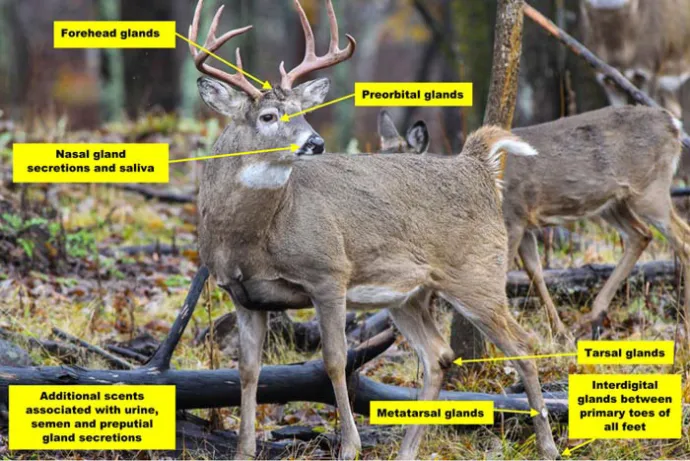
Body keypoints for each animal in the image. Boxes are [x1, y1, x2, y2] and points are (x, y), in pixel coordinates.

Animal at [187, 0, 559, 459]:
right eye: (269, 115)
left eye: (305, 112)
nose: (315, 142)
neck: (254, 238)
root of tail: (477, 166)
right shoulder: (243, 296)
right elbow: (248, 370)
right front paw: (243, 449)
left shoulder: (328, 272)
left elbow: (333, 360)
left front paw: (350, 446)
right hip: (409, 295)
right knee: (438, 355)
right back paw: (407, 451)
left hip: (477, 273)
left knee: (524, 344)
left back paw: (548, 446)